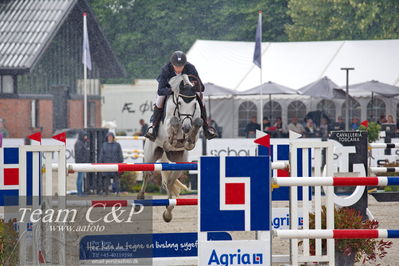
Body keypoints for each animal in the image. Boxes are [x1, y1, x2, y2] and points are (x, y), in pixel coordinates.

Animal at [140, 74, 203, 222]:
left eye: (194, 104)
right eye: (179, 103)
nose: (186, 127)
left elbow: (197, 126)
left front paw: (187, 140)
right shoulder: (167, 125)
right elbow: (173, 123)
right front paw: (173, 139)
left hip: (180, 162)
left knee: (169, 182)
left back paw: (168, 213)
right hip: (151, 156)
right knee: (147, 174)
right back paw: (140, 199)